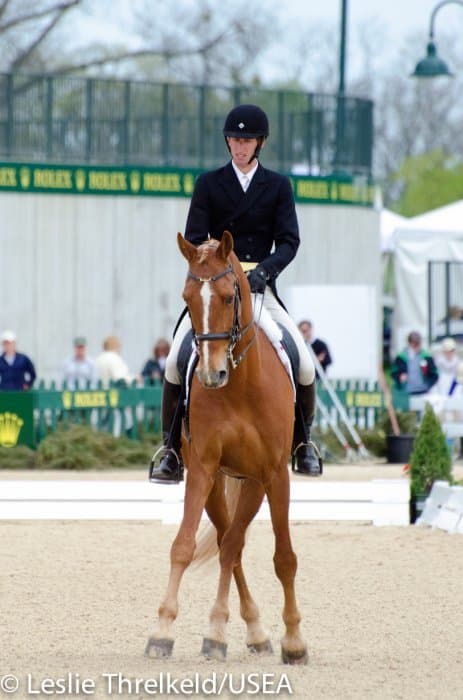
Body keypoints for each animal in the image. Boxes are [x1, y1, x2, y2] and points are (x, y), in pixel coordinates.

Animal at [145, 230, 308, 664]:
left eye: (227, 297)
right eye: (187, 298)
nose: (210, 375)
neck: (240, 386)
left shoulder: (274, 474)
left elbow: (285, 558)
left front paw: (294, 642)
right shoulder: (202, 468)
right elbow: (183, 546)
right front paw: (163, 632)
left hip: (253, 482)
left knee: (233, 544)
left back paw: (247, 633)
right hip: (220, 483)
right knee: (227, 544)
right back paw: (243, 632)